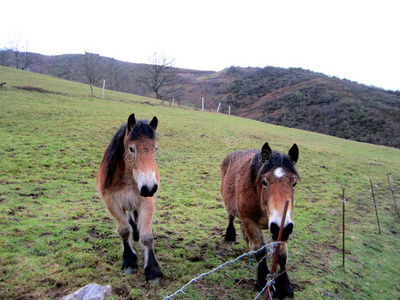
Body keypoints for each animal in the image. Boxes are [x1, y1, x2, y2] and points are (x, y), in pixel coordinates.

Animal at [96, 113, 163, 286]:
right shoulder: (112, 203)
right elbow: (124, 230)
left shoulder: (146, 202)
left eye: (155, 148)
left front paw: (153, 271)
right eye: (131, 148)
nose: (149, 187)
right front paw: (129, 261)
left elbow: (147, 236)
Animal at [220, 142, 298, 298]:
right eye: (264, 181)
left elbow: (281, 254)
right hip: (230, 206)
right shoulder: (250, 222)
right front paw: (262, 280)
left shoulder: (280, 226)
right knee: (231, 218)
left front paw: (284, 286)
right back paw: (230, 235)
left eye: (294, 183)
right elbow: (260, 250)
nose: (283, 227)